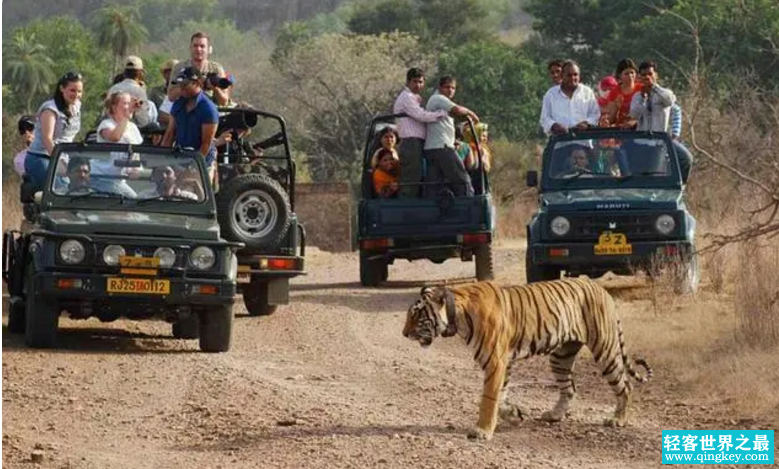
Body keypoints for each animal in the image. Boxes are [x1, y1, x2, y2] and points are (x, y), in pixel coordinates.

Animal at [402, 278, 652, 438]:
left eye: (417, 315)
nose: (404, 334)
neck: (458, 314)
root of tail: (601, 288)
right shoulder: (504, 363)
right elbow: (500, 397)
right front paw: (514, 415)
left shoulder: (495, 361)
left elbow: (488, 399)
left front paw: (482, 430)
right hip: (561, 356)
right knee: (569, 388)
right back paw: (554, 415)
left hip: (605, 349)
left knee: (625, 385)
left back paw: (618, 420)